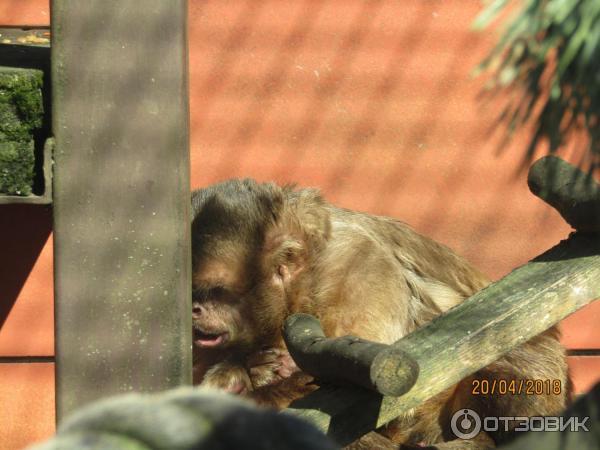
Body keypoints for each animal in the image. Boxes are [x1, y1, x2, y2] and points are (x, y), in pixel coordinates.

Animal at [190, 179, 568, 450]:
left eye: (214, 292)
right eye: (192, 293)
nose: (194, 310)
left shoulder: (358, 268)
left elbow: (380, 395)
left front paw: (251, 380)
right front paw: (242, 375)